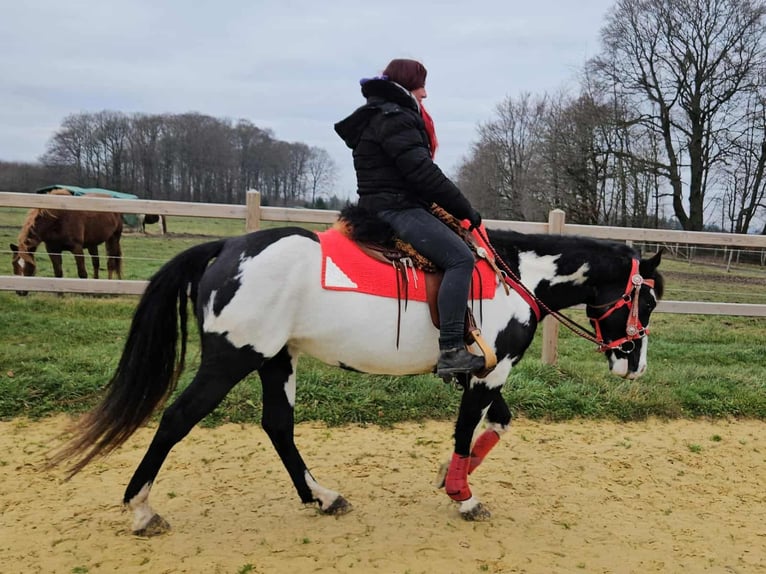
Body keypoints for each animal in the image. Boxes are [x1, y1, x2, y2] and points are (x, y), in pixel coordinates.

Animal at [47, 219, 663, 535]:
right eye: (647, 298)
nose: (634, 365)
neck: (515, 276)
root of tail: (228, 246)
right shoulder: (488, 374)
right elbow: (470, 429)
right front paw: (462, 495)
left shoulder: (487, 377)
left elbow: (497, 427)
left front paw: (450, 477)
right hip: (231, 360)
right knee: (176, 419)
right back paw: (141, 509)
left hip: (276, 359)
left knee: (278, 426)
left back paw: (321, 496)